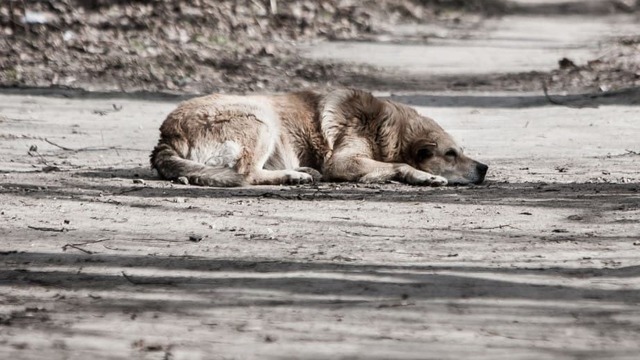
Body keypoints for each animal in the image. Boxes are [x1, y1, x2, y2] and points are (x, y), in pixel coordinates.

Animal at [151, 88, 490, 187]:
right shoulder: (342, 161)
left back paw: (301, 171)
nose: (484, 168)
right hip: (262, 117)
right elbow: (399, 165)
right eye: (450, 154)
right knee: (246, 173)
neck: (385, 129)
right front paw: (423, 176)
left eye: (462, 151)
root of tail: (165, 136)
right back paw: (293, 175)